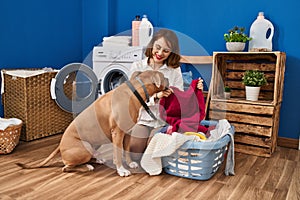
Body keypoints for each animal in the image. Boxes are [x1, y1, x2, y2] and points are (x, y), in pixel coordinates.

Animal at [17, 70, 169, 177]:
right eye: (163, 76)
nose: (168, 78)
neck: (135, 91)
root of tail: (60, 146)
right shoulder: (117, 133)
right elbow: (117, 153)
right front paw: (121, 170)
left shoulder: (127, 133)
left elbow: (126, 151)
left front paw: (130, 163)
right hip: (84, 147)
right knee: (66, 167)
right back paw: (87, 167)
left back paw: (97, 160)